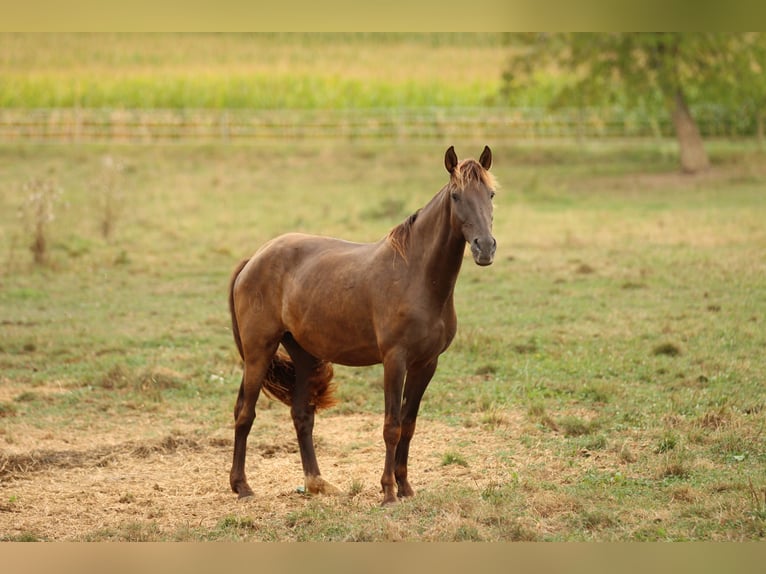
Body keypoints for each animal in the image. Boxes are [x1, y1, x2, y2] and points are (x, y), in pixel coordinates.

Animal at [228, 146, 500, 506]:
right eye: (456, 196)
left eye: (491, 194)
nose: (485, 247)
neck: (416, 275)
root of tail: (254, 259)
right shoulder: (395, 361)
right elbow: (391, 426)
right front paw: (388, 492)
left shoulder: (427, 364)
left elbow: (409, 425)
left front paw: (405, 487)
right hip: (259, 351)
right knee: (245, 413)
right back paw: (242, 486)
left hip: (303, 354)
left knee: (302, 414)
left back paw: (317, 483)